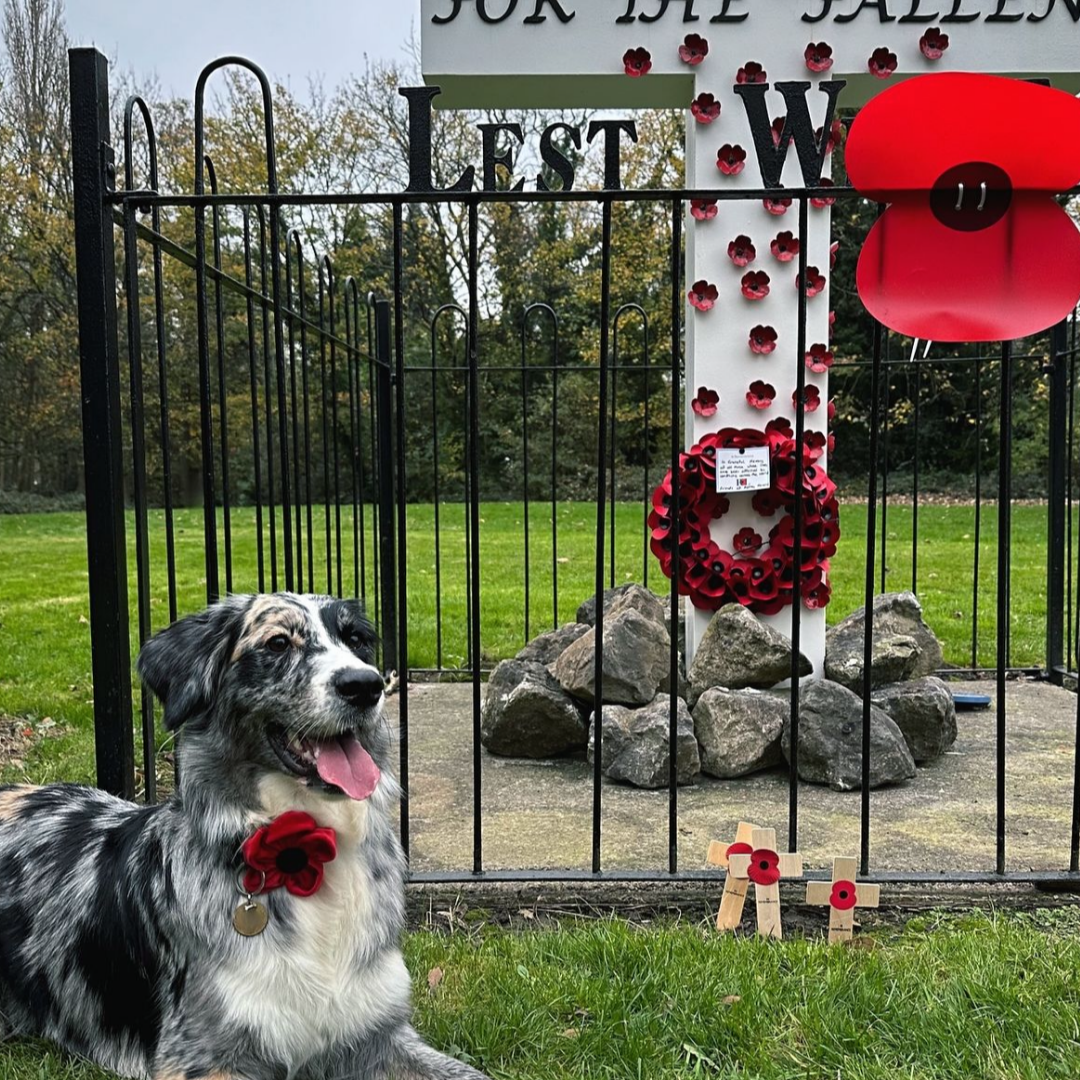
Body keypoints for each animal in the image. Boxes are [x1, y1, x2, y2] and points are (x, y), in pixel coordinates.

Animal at [0, 596, 490, 1075]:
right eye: (277, 643)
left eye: (356, 640)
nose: (365, 686)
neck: (303, 851)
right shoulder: (202, 1054)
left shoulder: (380, 1033)